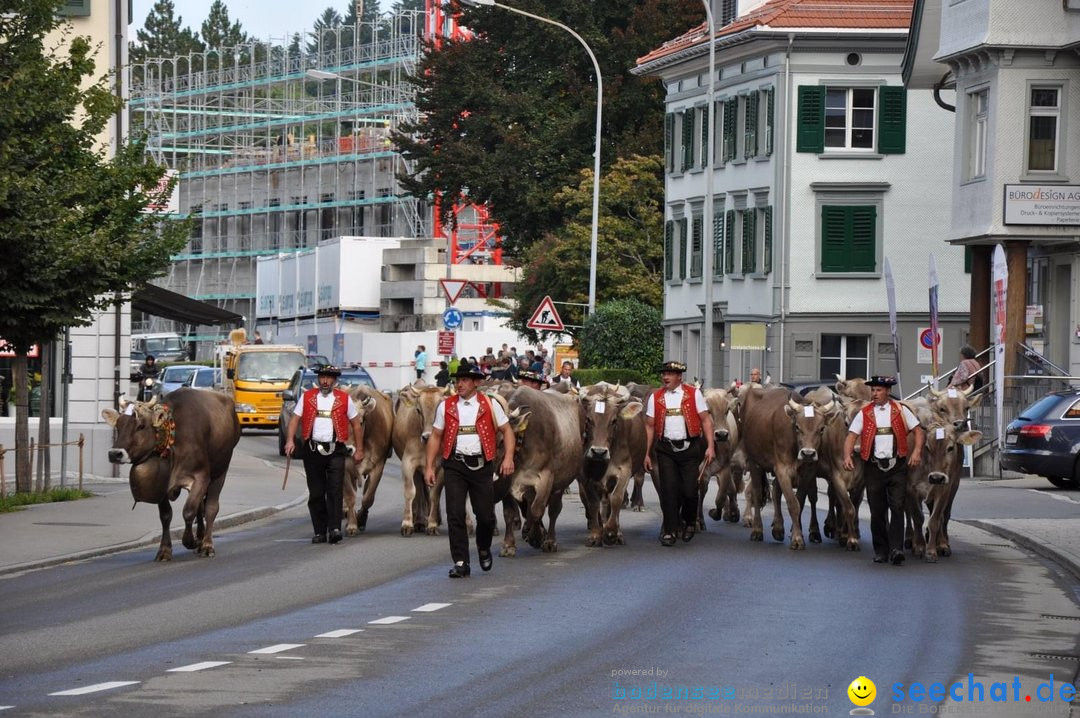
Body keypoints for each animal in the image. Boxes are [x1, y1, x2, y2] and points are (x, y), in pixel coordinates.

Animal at [100, 386, 240, 561]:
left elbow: (188, 511)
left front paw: (190, 541)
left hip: (220, 470)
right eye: (118, 426)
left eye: (141, 426)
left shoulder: (201, 477)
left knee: (211, 507)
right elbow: (166, 516)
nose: (115, 454)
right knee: (201, 507)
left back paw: (207, 545)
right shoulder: (162, 482)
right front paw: (164, 550)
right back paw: (201, 539)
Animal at [343, 386, 395, 531]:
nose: (347, 449)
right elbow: (350, 496)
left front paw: (360, 519)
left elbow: (368, 498)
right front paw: (352, 524)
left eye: (360, 422)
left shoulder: (377, 466)